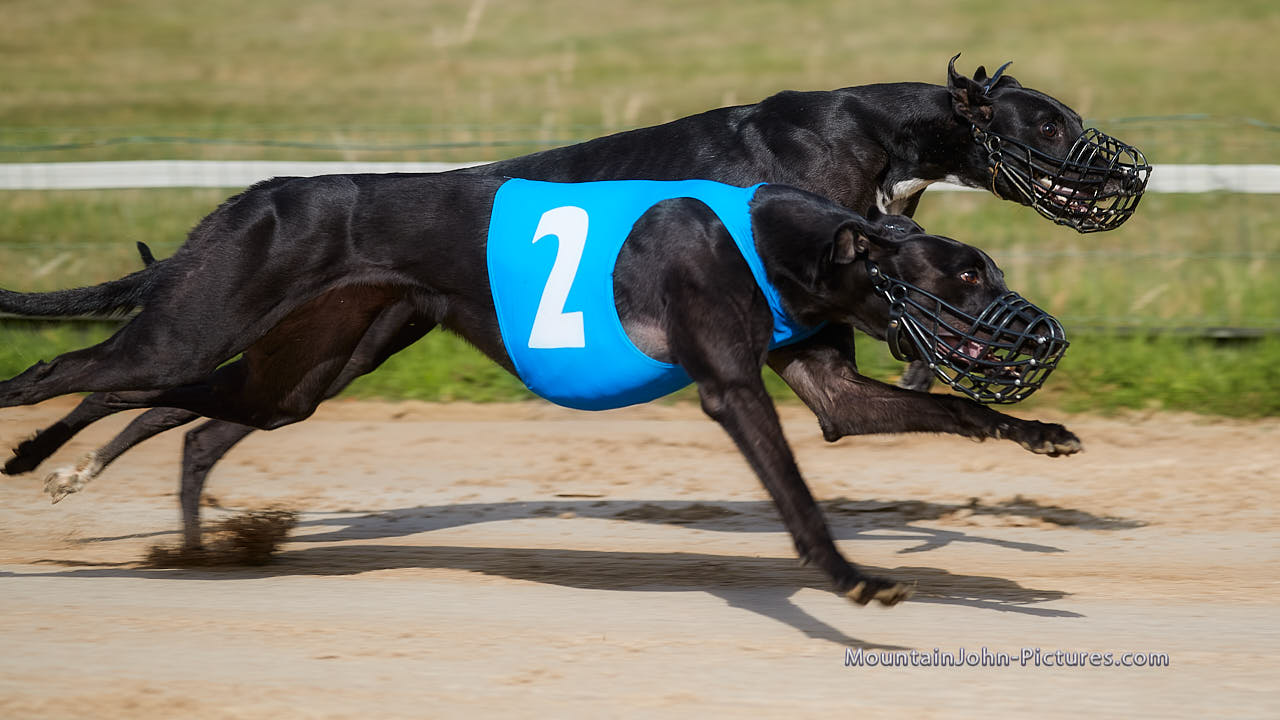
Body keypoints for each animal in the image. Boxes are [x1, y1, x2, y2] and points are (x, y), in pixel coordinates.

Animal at [0, 175, 1079, 605]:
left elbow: (948, 409)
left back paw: (80, 474)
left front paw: (1042, 435)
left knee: (180, 404)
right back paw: (34, 451)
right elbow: (798, 498)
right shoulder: (730, 389)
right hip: (202, 319)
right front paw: (854, 579)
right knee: (67, 371)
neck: (776, 234)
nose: (1046, 333)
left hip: (297, 372)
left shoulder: (827, 389)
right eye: (966, 273)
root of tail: (245, 199)